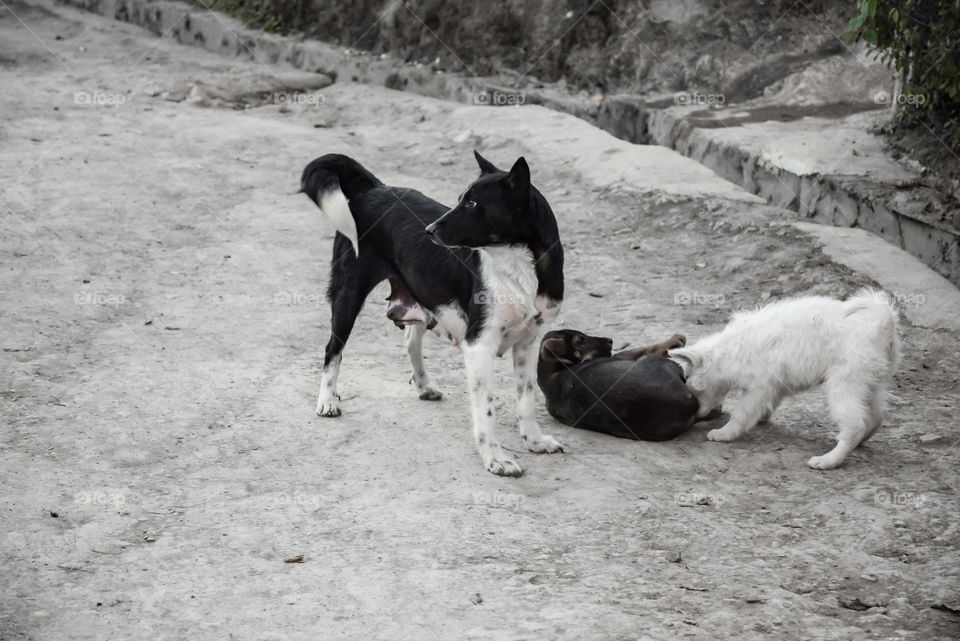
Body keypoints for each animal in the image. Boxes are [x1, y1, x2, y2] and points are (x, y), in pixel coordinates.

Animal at [300, 151, 568, 476]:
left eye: (472, 203)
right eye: (460, 199)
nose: (428, 231)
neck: (518, 264)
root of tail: (374, 188)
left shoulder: (529, 343)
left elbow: (527, 400)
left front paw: (535, 441)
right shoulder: (479, 345)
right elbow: (486, 411)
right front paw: (495, 459)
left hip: (419, 295)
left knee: (410, 341)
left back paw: (424, 385)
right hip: (348, 295)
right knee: (333, 350)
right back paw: (327, 400)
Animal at [540, 330, 696, 440]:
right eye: (580, 340)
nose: (610, 340)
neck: (548, 377)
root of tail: (686, 403)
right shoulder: (624, 356)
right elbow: (646, 348)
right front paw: (676, 339)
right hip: (653, 361)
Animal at [668, 288, 900, 468]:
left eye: (692, 389)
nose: (696, 413)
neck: (728, 351)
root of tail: (883, 322)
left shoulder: (759, 388)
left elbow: (741, 414)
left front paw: (725, 433)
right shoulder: (773, 385)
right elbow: (766, 405)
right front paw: (761, 417)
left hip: (844, 385)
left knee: (855, 426)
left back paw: (828, 460)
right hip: (869, 384)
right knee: (875, 418)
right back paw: (856, 443)